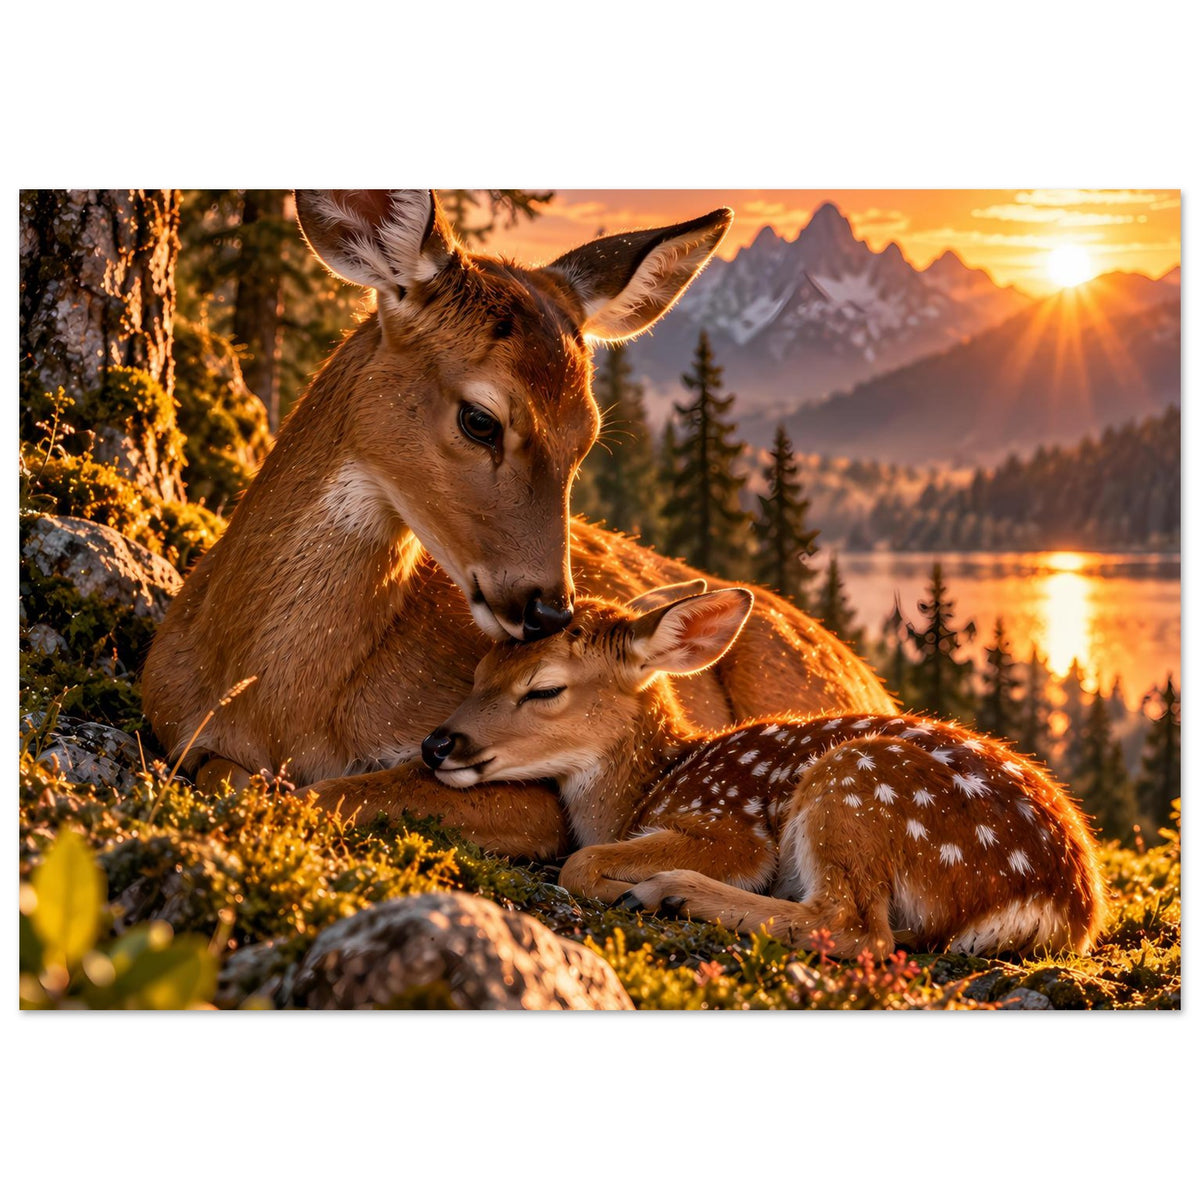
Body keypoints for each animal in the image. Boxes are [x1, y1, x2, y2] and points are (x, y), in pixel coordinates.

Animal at [142, 190, 895, 862]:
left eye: (587, 437)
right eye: (481, 419)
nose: (548, 609)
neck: (277, 704)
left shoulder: (530, 791)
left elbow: (336, 791)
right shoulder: (171, 722)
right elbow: (232, 776)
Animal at [422, 583, 1107, 957]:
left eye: (544, 689)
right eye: (480, 670)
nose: (436, 744)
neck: (647, 787)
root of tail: (1063, 906)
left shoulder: (729, 826)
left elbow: (581, 861)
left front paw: (627, 884)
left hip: (856, 784)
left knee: (855, 927)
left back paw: (671, 893)